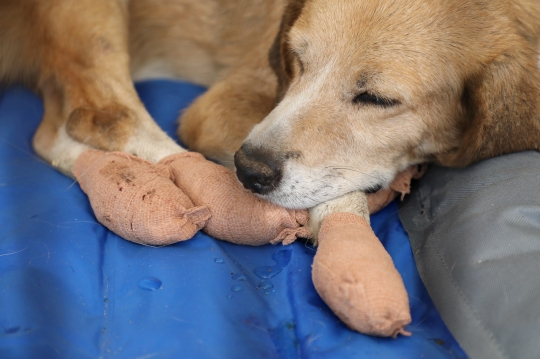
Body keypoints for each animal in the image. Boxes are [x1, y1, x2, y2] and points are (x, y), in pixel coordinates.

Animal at [1, 0, 540, 219]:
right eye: (296, 58)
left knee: (56, 131)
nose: (248, 171)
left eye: (378, 99)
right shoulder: (218, 110)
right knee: (106, 118)